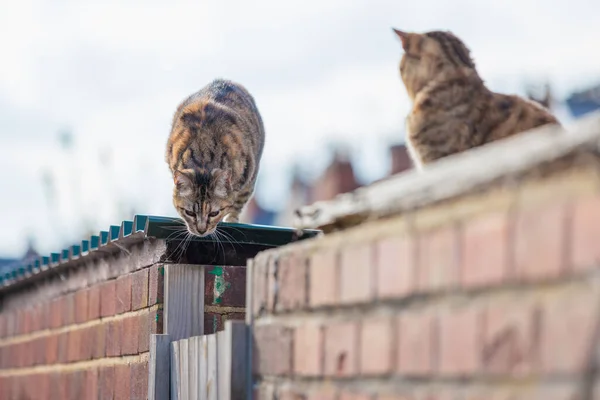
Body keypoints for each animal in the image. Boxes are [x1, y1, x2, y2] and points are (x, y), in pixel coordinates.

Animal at [166, 78, 264, 236]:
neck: (203, 160)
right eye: (189, 213)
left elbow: (236, 205)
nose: (201, 231)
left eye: (214, 213)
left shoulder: (248, 176)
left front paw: (230, 219)